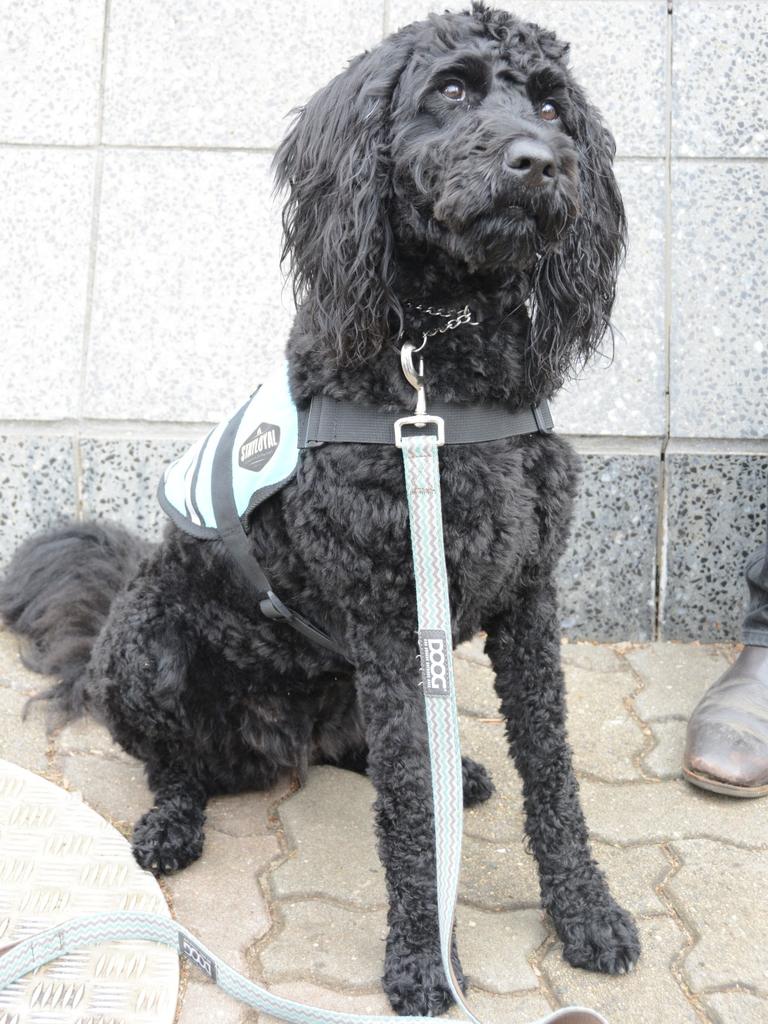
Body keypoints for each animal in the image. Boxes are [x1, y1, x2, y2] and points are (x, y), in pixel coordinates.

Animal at [1, 6, 638, 1015]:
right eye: (451, 89)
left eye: (550, 105)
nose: (539, 162)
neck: (443, 369)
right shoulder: (387, 615)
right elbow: (410, 814)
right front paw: (423, 961)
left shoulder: (530, 600)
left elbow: (551, 770)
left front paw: (586, 913)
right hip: (151, 649)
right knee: (176, 764)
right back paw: (171, 825)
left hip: (351, 681)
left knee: (366, 750)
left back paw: (450, 769)